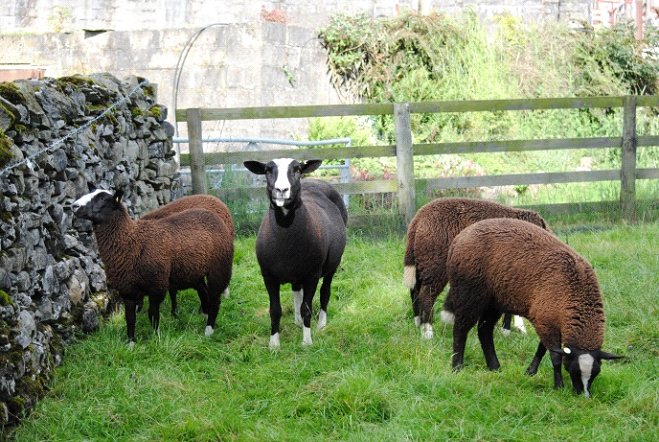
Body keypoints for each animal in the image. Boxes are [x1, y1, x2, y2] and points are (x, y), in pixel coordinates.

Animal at [71, 188, 232, 344]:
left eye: (104, 199)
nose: (74, 206)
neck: (131, 242)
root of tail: (214, 215)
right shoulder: (127, 289)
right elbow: (130, 317)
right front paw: (131, 343)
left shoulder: (157, 285)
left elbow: (153, 314)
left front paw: (157, 338)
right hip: (193, 270)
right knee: (204, 292)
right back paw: (204, 316)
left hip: (219, 268)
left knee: (215, 299)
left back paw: (208, 330)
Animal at [244, 159, 348, 348]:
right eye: (267, 170)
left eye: (298, 169)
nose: (281, 190)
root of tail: (316, 181)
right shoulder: (268, 275)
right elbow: (275, 310)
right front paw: (274, 344)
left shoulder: (312, 274)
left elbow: (307, 308)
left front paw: (307, 341)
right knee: (296, 291)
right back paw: (298, 321)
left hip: (332, 264)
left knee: (325, 292)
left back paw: (321, 325)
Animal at [402, 197, 552, 338]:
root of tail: (418, 218)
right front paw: (507, 331)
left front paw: (519, 329)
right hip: (435, 262)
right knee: (426, 295)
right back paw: (428, 332)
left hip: (422, 261)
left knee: (415, 291)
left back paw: (418, 324)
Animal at [440, 218, 620, 398]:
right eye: (574, 371)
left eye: (596, 373)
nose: (584, 396)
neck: (576, 294)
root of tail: (459, 238)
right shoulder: (545, 320)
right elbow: (555, 356)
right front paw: (558, 386)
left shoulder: (548, 319)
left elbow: (543, 349)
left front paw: (530, 372)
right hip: (468, 293)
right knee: (460, 330)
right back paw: (457, 367)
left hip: (494, 301)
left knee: (484, 331)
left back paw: (494, 367)